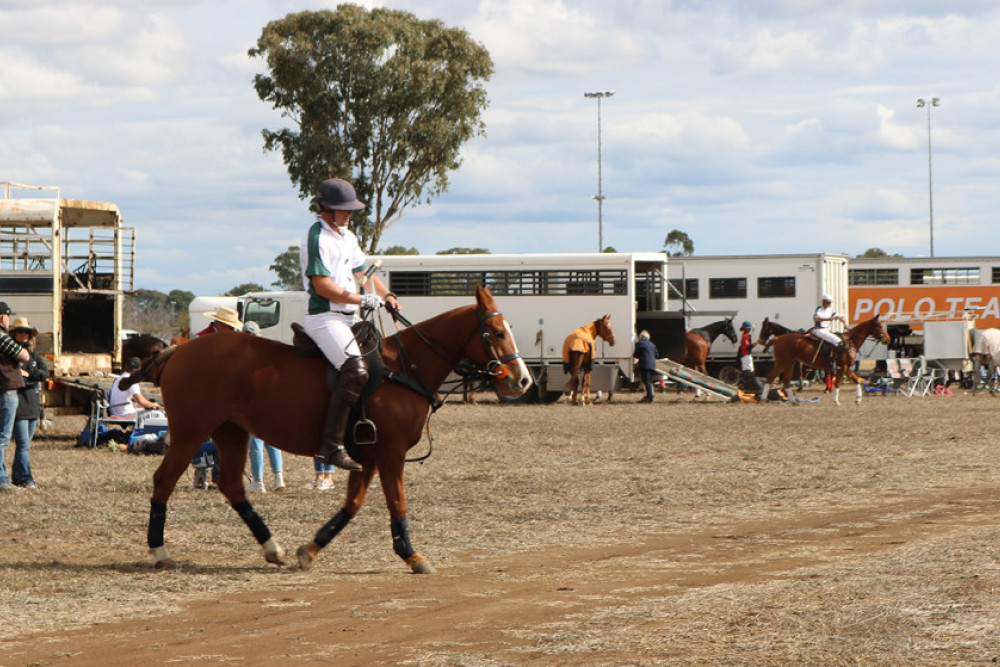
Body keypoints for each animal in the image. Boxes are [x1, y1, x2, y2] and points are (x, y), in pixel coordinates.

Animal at [129, 288, 536, 576]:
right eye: (495, 332)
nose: (522, 381)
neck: (405, 368)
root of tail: (177, 352)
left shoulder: (367, 455)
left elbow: (352, 505)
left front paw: (309, 550)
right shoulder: (390, 453)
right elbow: (397, 502)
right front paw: (413, 555)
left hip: (232, 431)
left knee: (231, 485)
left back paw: (272, 548)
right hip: (190, 431)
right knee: (164, 480)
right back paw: (160, 551)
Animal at [764, 314, 892, 404]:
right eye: (880, 326)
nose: (888, 339)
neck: (850, 341)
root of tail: (777, 339)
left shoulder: (847, 367)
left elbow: (856, 380)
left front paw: (858, 399)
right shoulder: (843, 367)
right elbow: (838, 382)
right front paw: (836, 401)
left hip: (790, 362)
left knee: (785, 380)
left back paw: (792, 400)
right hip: (782, 362)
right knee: (771, 377)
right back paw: (764, 399)